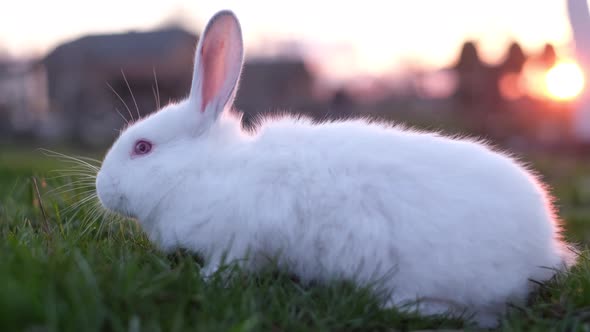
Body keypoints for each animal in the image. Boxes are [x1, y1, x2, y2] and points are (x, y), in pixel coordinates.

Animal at [96, 9, 580, 326]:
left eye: (142, 148)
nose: (101, 187)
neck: (207, 172)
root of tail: (545, 249)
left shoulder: (238, 243)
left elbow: (225, 268)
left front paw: (206, 282)